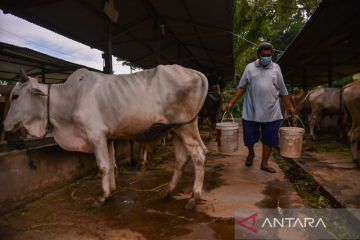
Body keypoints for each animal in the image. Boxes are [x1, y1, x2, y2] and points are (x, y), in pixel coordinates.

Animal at [4, 65, 208, 208]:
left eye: (15, 96)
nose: (4, 124)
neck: (69, 98)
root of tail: (194, 72)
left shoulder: (96, 136)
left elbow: (102, 166)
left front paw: (102, 197)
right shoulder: (108, 138)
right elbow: (110, 164)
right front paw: (112, 190)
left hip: (186, 127)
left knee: (198, 156)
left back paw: (194, 197)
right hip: (177, 130)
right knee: (182, 158)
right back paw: (168, 191)